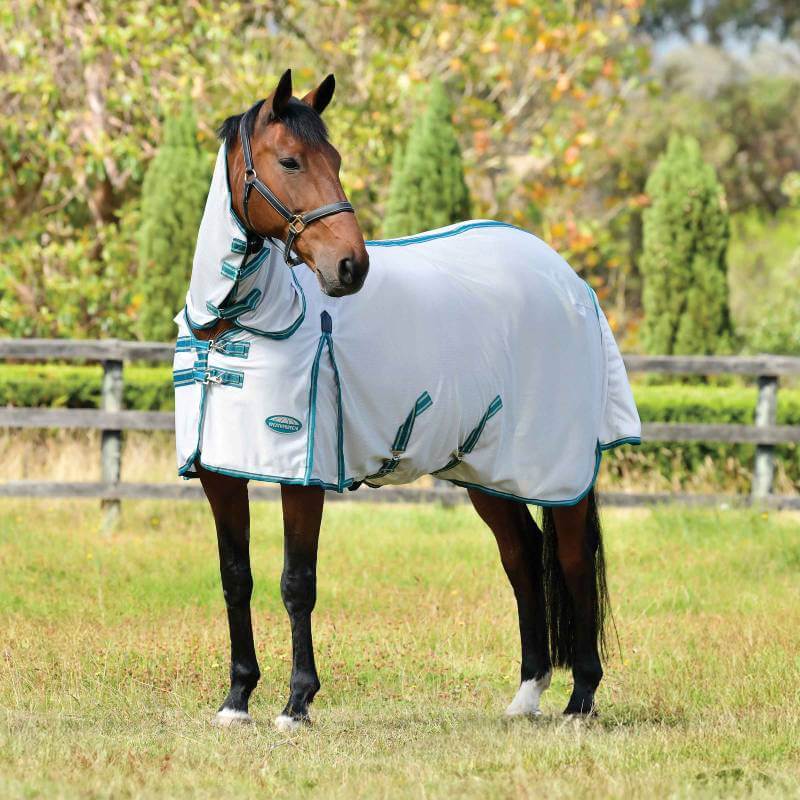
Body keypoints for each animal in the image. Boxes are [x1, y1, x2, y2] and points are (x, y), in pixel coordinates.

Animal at [173, 69, 641, 731]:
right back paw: (526, 695)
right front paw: (237, 699)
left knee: (571, 559)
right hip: (486, 469)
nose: (351, 267)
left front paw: (297, 703)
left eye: (336, 161)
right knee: (522, 556)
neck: (241, 322)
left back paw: (580, 701)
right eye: (290, 160)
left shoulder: (304, 475)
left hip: (559, 470)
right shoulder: (221, 474)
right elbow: (236, 577)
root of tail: (571, 282)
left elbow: (297, 582)